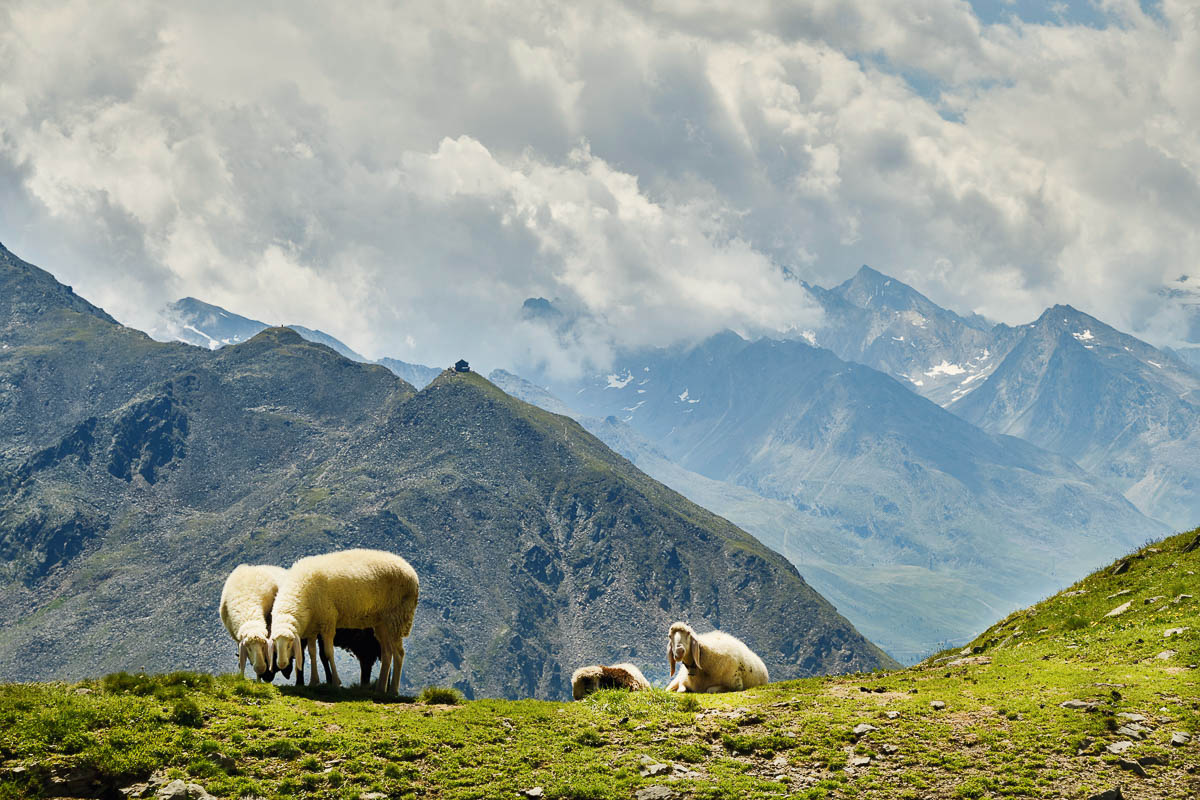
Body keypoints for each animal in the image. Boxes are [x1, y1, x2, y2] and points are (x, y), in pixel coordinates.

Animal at [270, 551, 420, 695]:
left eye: (290, 644)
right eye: (275, 644)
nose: (282, 664)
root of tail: (410, 570)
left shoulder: (328, 621)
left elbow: (328, 653)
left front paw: (336, 683)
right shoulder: (313, 627)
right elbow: (312, 653)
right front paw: (313, 681)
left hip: (396, 616)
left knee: (399, 654)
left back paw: (393, 690)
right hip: (382, 622)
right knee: (387, 653)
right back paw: (380, 689)